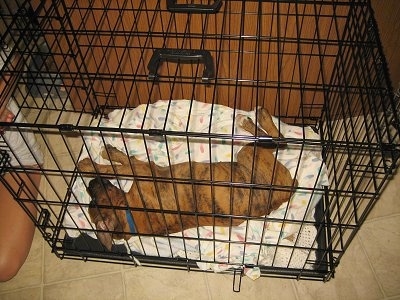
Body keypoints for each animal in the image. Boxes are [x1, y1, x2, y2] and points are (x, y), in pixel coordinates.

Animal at [78, 106, 296, 250]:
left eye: (94, 198)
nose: (90, 184)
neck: (130, 215)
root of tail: (288, 190)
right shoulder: (145, 170)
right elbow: (120, 166)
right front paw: (92, 164)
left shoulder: (145, 169)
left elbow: (122, 163)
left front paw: (100, 158)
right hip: (249, 154)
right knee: (278, 142)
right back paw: (251, 119)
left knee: (279, 141)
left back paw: (254, 118)